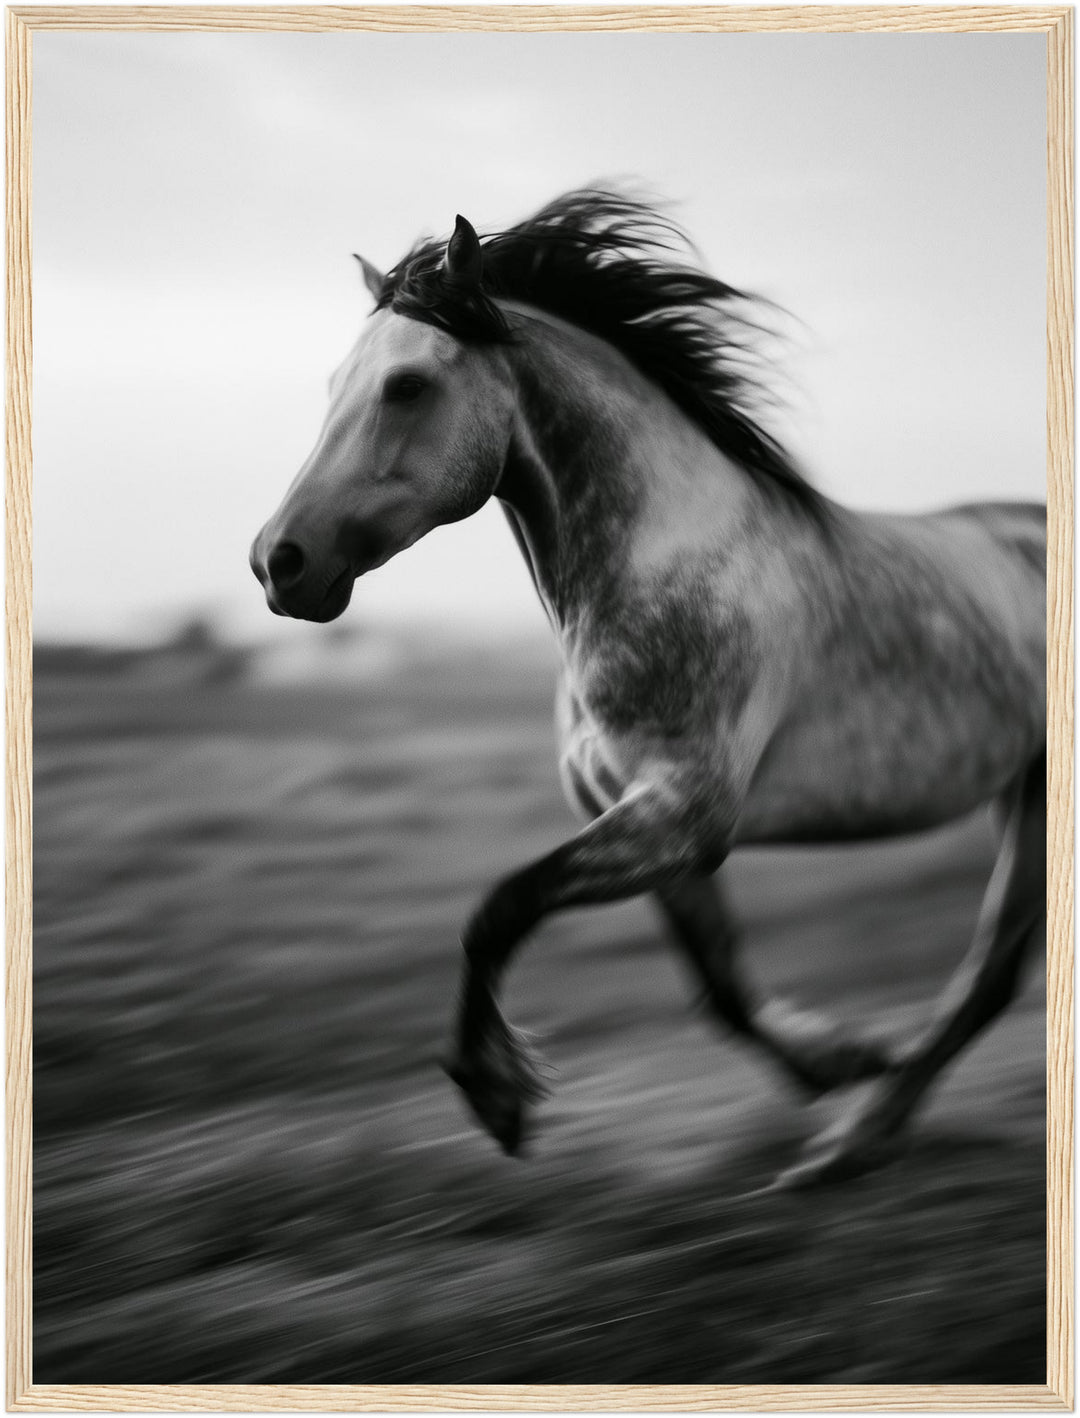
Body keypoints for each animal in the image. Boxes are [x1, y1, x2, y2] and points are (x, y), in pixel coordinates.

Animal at [250, 190, 1046, 1188]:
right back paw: (855, 1134)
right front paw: (840, 1059)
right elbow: (719, 985)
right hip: (1021, 789)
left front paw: (497, 1096)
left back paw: (849, 1143)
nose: (279, 563)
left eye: (406, 387)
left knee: (989, 974)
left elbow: (497, 909)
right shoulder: (643, 824)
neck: (662, 567)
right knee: (993, 975)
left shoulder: (681, 815)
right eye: (333, 387)